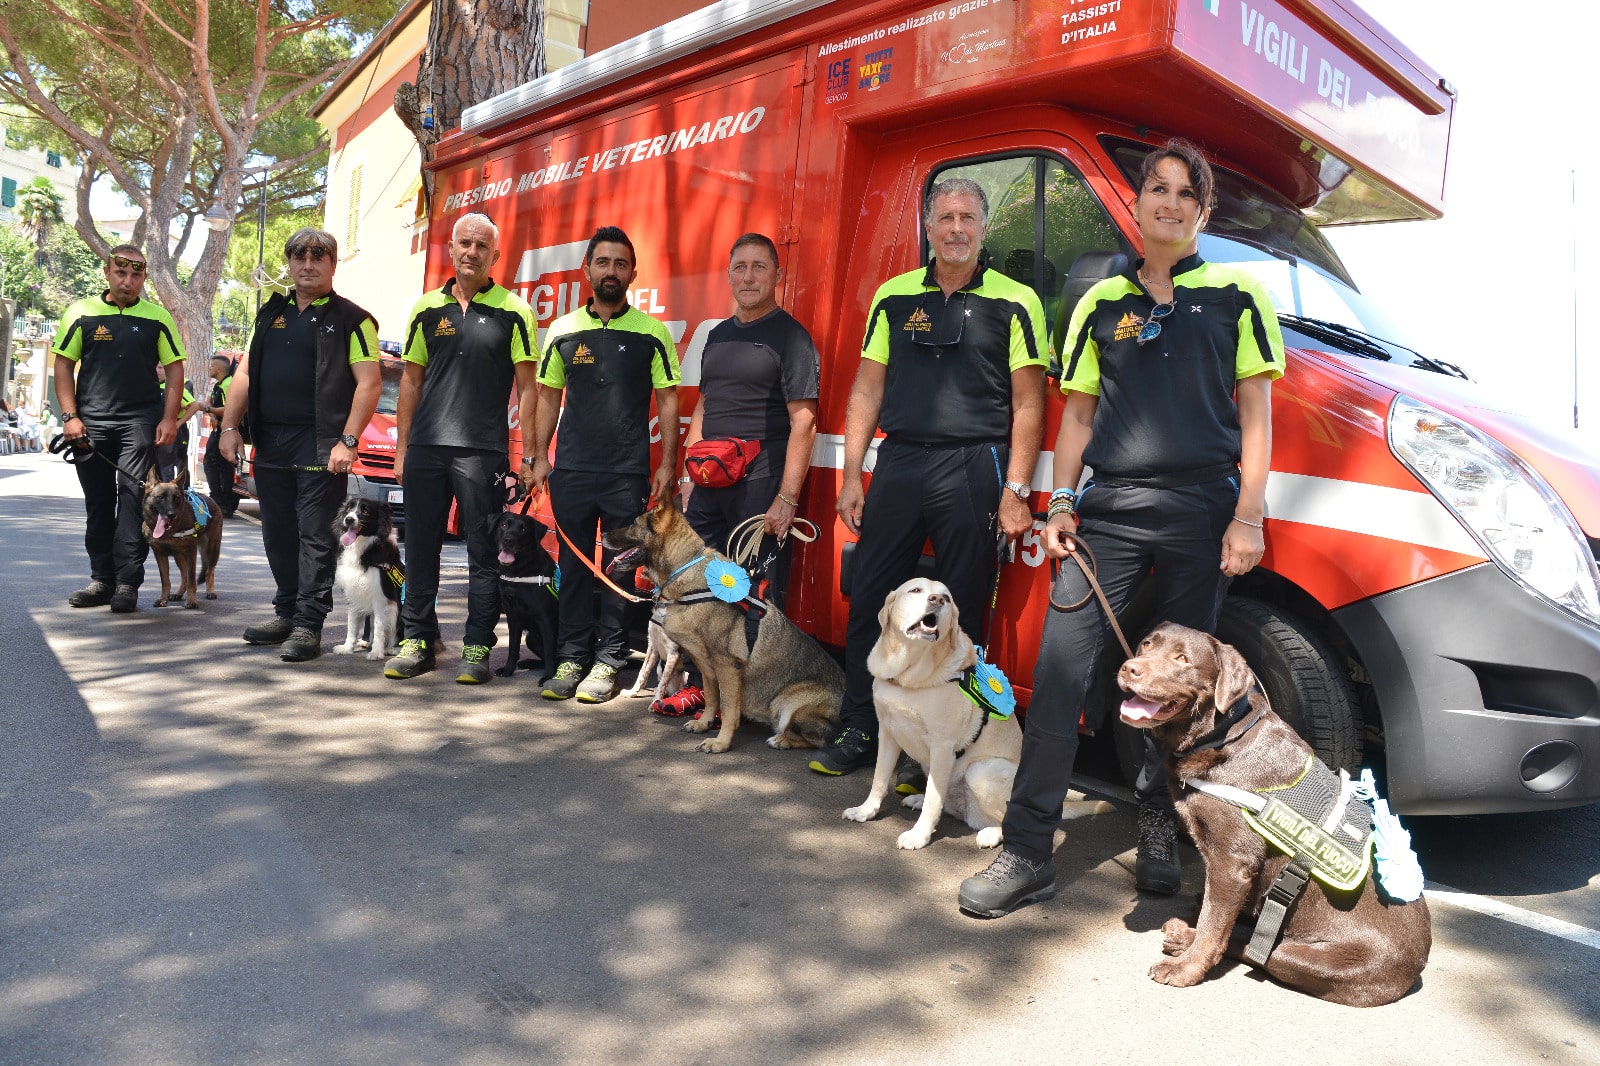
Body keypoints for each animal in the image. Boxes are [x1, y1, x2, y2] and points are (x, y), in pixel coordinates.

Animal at [142, 464, 224, 605]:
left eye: (176, 498)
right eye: (161, 498)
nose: (171, 514)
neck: (169, 532)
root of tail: (212, 500)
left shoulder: (191, 553)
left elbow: (192, 579)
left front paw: (192, 600)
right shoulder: (160, 555)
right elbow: (165, 580)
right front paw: (163, 599)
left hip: (212, 550)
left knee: (209, 571)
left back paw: (210, 591)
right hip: (179, 556)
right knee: (184, 576)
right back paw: (178, 593)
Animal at [331, 499, 403, 656]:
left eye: (365, 511)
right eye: (348, 509)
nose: (349, 519)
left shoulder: (381, 598)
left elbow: (379, 628)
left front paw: (376, 652)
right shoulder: (353, 593)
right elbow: (352, 625)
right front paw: (347, 647)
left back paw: (392, 648)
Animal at [486, 508, 563, 681]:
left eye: (524, 529)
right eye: (504, 525)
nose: (508, 540)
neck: (519, 571)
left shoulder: (546, 620)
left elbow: (550, 651)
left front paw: (549, 677)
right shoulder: (512, 617)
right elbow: (513, 647)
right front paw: (508, 670)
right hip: (531, 638)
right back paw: (529, 662)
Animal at [604, 492, 844, 752]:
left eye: (634, 523)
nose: (603, 535)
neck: (685, 569)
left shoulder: (728, 668)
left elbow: (729, 709)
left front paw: (720, 742)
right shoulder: (706, 668)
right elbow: (711, 698)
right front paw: (705, 723)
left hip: (788, 704)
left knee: (821, 738)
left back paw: (781, 739)